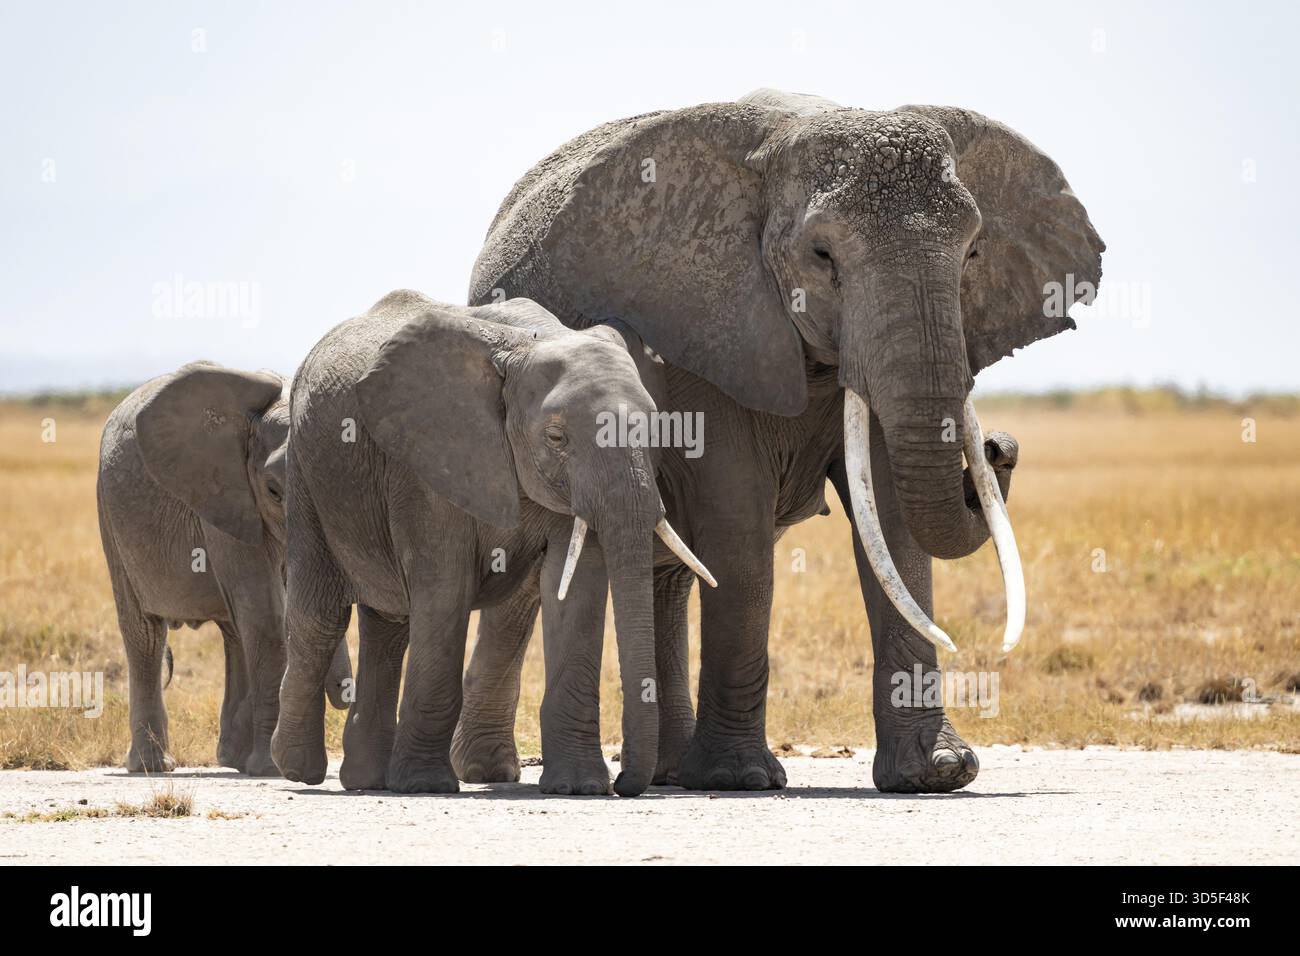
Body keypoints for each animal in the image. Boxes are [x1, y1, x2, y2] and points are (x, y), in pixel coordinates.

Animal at [97, 361, 353, 775]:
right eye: (273, 491)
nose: (346, 695)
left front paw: (260, 765)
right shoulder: (223, 495)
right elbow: (267, 614)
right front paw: (269, 769)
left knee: (233, 631)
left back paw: (233, 760)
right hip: (109, 514)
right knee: (144, 633)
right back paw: (153, 765)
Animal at [270, 290, 714, 796]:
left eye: (656, 432)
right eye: (556, 437)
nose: (625, 782)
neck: (526, 347)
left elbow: (575, 588)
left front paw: (578, 787)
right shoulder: (426, 460)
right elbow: (445, 588)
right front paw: (425, 786)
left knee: (390, 624)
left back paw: (367, 779)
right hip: (307, 475)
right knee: (320, 615)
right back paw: (298, 769)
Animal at [454, 88, 1103, 793]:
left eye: (974, 254)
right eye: (822, 255)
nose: (999, 447)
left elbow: (892, 526)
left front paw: (937, 774)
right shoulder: (704, 328)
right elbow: (738, 526)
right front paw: (740, 776)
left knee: (668, 575)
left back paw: (669, 770)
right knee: (535, 579)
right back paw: (492, 768)